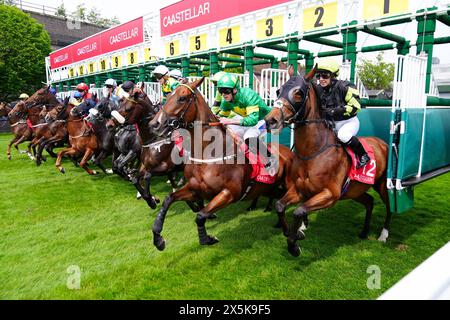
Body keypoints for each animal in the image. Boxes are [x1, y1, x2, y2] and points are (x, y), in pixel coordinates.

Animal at [148, 79, 296, 251]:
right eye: (168, 95)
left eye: (182, 98)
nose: (154, 124)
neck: (208, 152)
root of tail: (290, 151)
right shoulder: (195, 189)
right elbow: (168, 199)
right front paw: (158, 237)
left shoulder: (229, 193)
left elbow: (200, 215)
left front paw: (207, 238)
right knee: (279, 202)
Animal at [264, 65, 390, 258]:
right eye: (279, 90)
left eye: (298, 93)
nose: (270, 120)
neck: (313, 152)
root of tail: (382, 142)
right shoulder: (299, 190)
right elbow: (279, 206)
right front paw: (291, 232)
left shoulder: (330, 194)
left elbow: (299, 211)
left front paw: (294, 243)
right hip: (356, 189)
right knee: (369, 201)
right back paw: (364, 232)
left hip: (382, 184)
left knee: (390, 207)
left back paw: (384, 234)